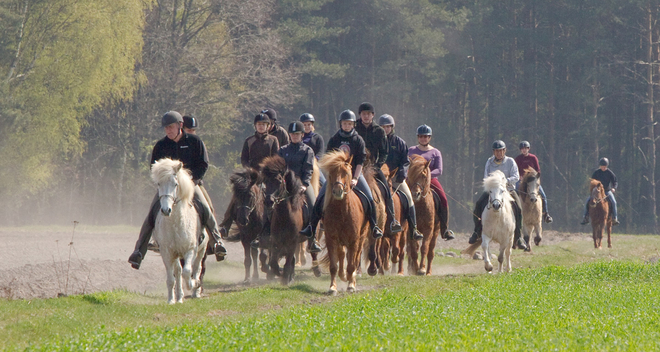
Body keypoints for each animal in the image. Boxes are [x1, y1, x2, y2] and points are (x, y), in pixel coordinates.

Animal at [152, 158, 209, 304]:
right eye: (159, 183)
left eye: (175, 184)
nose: (166, 210)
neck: (176, 224)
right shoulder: (167, 253)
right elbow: (171, 278)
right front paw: (171, 300)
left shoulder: (190, 250)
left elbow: (188, 272)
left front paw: (194, 284)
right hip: (176, 254)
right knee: (177, 272)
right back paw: (179, 297)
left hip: (201, 250)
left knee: (197, 268)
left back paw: (195, 292)